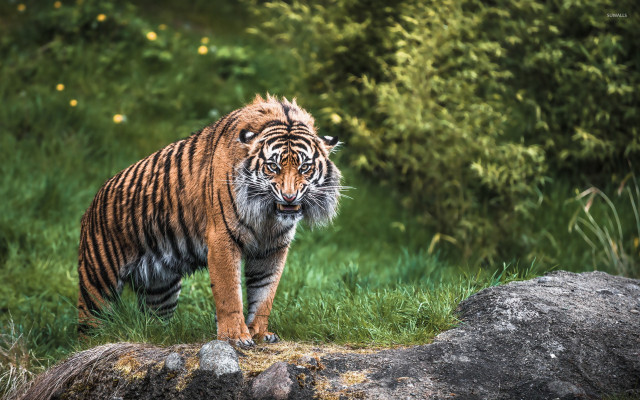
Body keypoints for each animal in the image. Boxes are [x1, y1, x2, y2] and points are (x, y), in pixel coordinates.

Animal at [77, 95, 342, 346]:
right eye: (272, 167)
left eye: (305, 167)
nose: (289, 196)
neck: (266, 216)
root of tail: (92, 203)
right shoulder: (223, 238)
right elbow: (229, 293)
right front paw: (236, 336)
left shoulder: (273, 248)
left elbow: (264, 294)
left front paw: (259, 333)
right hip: (99, 281)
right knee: (88, 324)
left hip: (161, 288)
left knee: (152, 320)